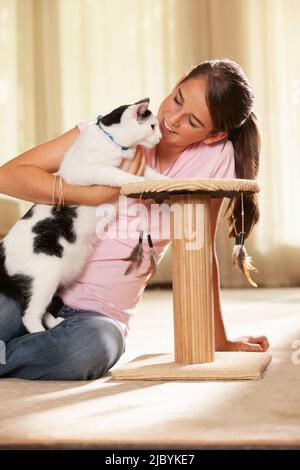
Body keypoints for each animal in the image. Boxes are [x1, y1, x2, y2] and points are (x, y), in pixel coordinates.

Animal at [0, 97, 169, 332]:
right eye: (153, 126)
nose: (160, 137)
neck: (115, 143)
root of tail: (2, 250)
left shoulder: (140, 166)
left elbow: (153, 174)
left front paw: (167, 182)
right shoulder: (90, 171)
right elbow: (117, 174)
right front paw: (137, 182)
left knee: (42, 309)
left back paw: (54, 323)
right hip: (44, 278)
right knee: (30, 315)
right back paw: (40, 332)